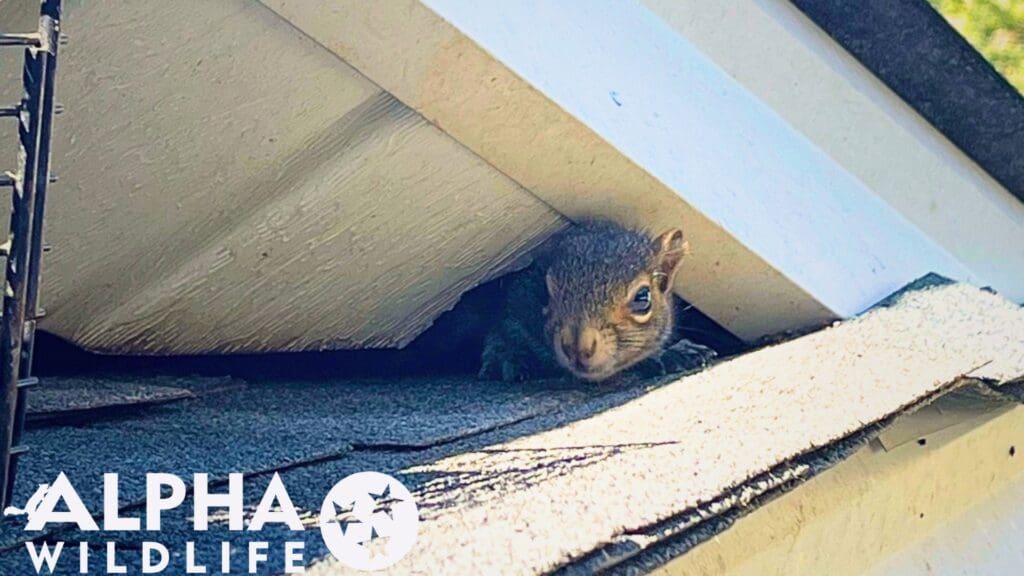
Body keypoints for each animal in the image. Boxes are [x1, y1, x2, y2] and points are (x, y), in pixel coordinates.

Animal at [478, 220, 717, 382]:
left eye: (643, 298)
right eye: (541, 291)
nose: (577, 346)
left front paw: (675, 352)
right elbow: (502, 329)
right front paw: (506, 356)